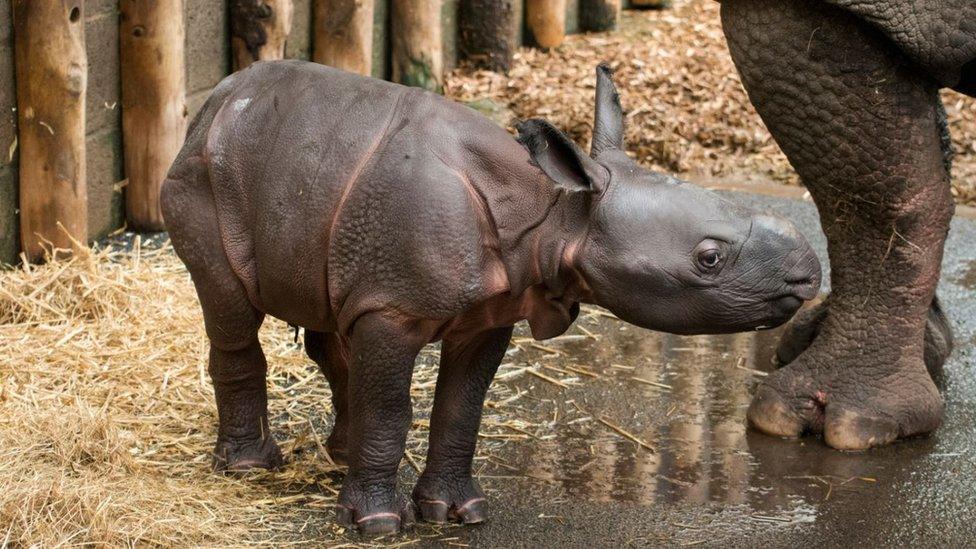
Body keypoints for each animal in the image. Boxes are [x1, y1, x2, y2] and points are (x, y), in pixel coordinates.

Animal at [164, 61, 820, 536]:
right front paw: (377, 524)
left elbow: (462, 407)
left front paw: (459, 513)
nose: (808, 275)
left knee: (331, 317)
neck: (556, 211)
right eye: (709, 259)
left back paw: (338, 456)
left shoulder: (488, 309)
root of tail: (216, 100)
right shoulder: (393, 307)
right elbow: (391, 406)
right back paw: (250, 468)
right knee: (230, 310)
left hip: (314, 185)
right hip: (203, 177)